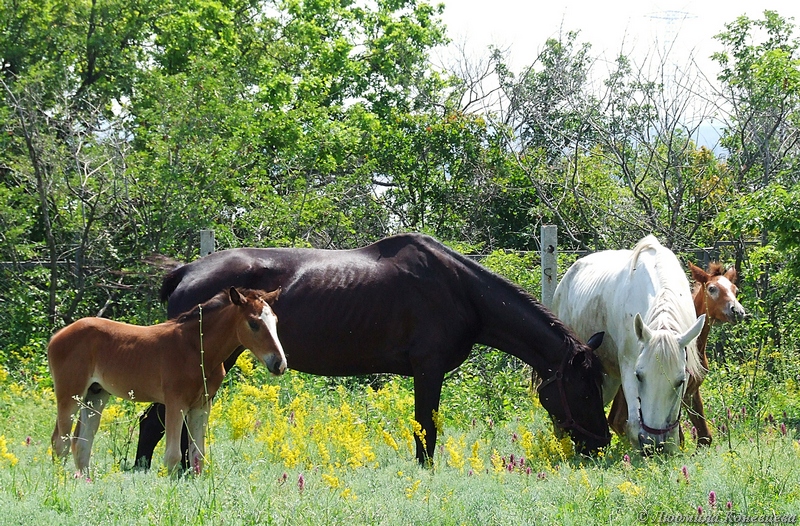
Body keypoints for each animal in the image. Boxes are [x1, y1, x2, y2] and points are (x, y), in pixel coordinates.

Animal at [47, 286, 284, 476]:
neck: (195, 349)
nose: (279, 363)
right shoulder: (175, 402)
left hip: (95, 394)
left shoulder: (201, 405)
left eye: (275, 321)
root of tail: (56, 336)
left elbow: (198, 454)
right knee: (60, 442)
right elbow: (173, 456)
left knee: (81, 443)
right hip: (70, 394)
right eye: (253, 323)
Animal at [133, 233, 608, 468]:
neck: (459, 291)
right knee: (154, 423)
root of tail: (185, 272)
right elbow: (426, 430)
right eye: (585, 390)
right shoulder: (429, 369)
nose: (601, 443)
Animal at [608, 262, 744, 448]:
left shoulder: (690, 392)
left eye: (735, 290)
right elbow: (679, 438)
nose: (737, 311)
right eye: (712, 289)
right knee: (619, 420)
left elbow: (704, 437)